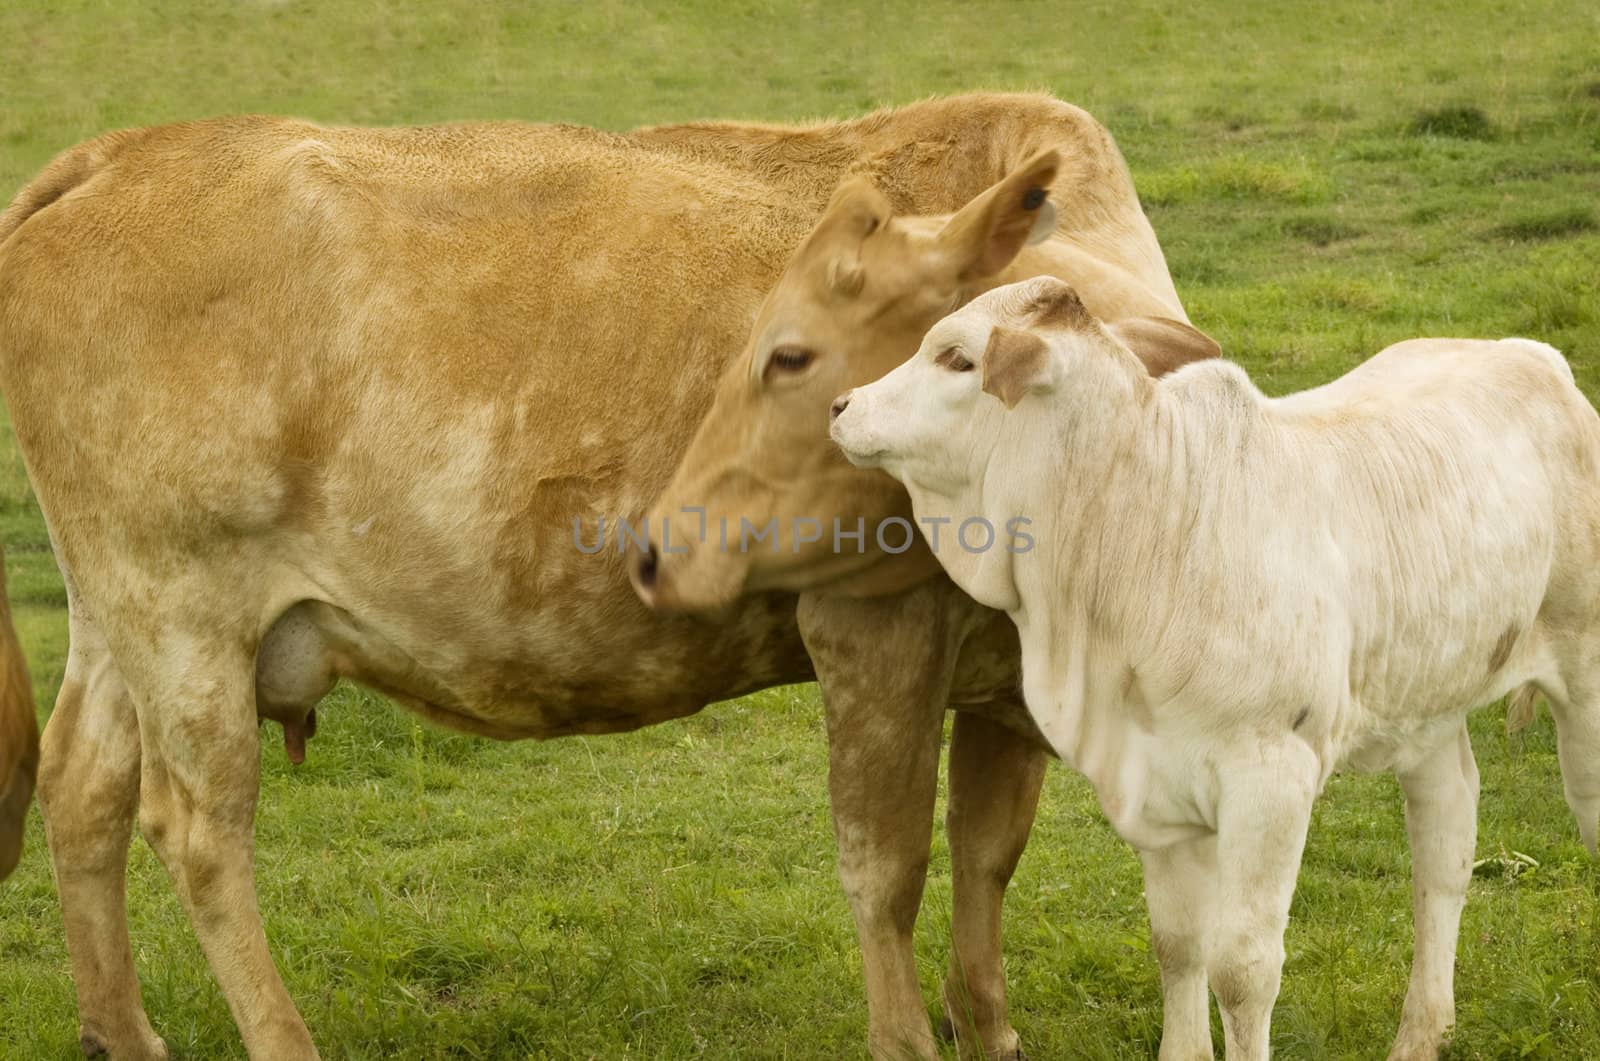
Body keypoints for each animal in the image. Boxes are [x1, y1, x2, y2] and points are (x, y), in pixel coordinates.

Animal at [0, 93, 1203, 1061]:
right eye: (790, 352)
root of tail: (127, 151)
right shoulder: (874, 624)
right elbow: (887, 860)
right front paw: (906, 1036)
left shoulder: (1010, 675)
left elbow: (987, 854)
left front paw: (986, 1026)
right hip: (182, 610)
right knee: (200, 827)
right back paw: (277, 1036)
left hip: (121, 615)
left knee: (85, 785)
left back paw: (122, 1030)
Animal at [825, 273, 1600, 1061]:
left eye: (956, 358)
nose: (842, 405)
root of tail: (1531, 356)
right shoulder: (1152, 775)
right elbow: (1177, 943)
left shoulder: (1271, 778)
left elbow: (1242, 968)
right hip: (1427, 702)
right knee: (1445, 848)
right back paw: (1421, 1031)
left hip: (1584, 676)